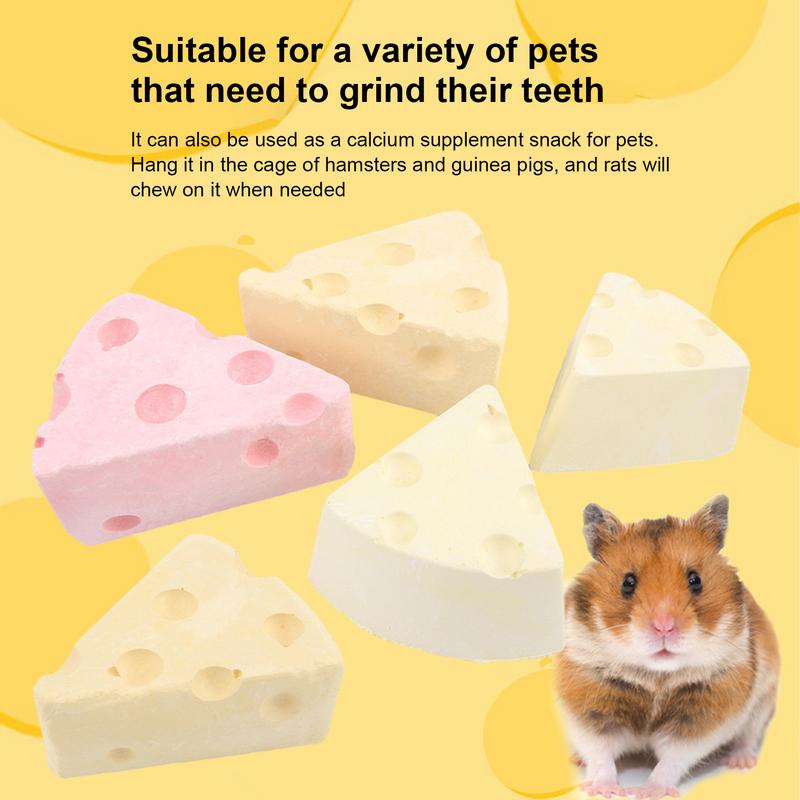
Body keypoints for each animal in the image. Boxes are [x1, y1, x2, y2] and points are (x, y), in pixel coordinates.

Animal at [556, 496, 779, 799]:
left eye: (695, 580)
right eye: (627, 582)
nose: (664, 627)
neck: (656, 677)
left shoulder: (703, 715)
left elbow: (673, 758)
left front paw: (646, 791)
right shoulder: (588, 702)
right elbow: (600, 751)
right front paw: (603, 790)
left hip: (763, 702)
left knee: (748, 736)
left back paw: (740, 761)